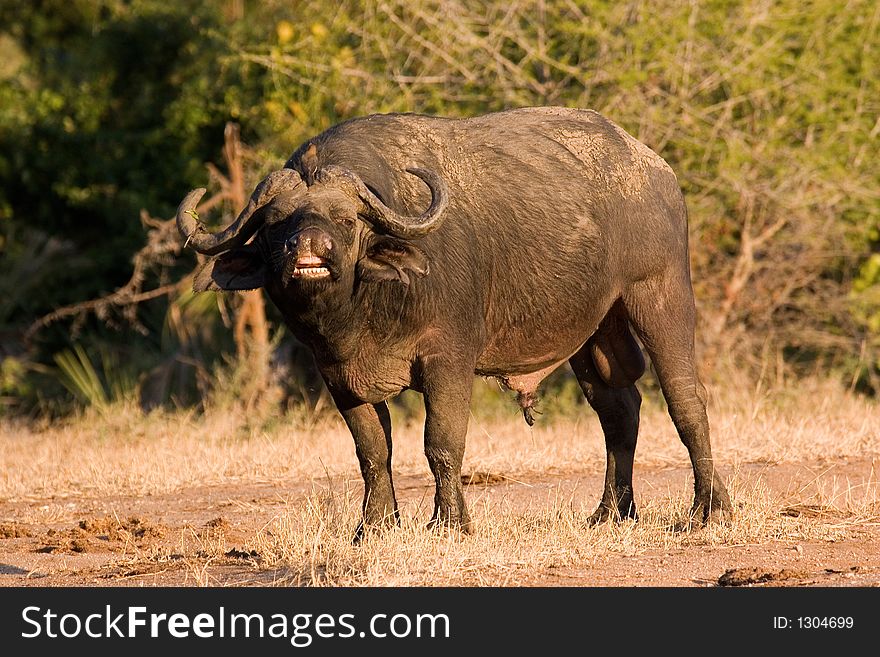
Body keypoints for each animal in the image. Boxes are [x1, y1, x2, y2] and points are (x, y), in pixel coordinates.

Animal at [175, 107, 732, 536]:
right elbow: (372, 451)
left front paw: (449, 522)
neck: (360, 317)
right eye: (276, 223)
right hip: (595, 330)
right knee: (619, 408)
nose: (308, 246)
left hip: (659, 293)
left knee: (686, 400)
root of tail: (655, 168)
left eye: (346, 219)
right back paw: (612, 512)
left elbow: (440, 443)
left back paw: (708, 508)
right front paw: (374, 527)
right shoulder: (337, 377)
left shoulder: (448, 361)